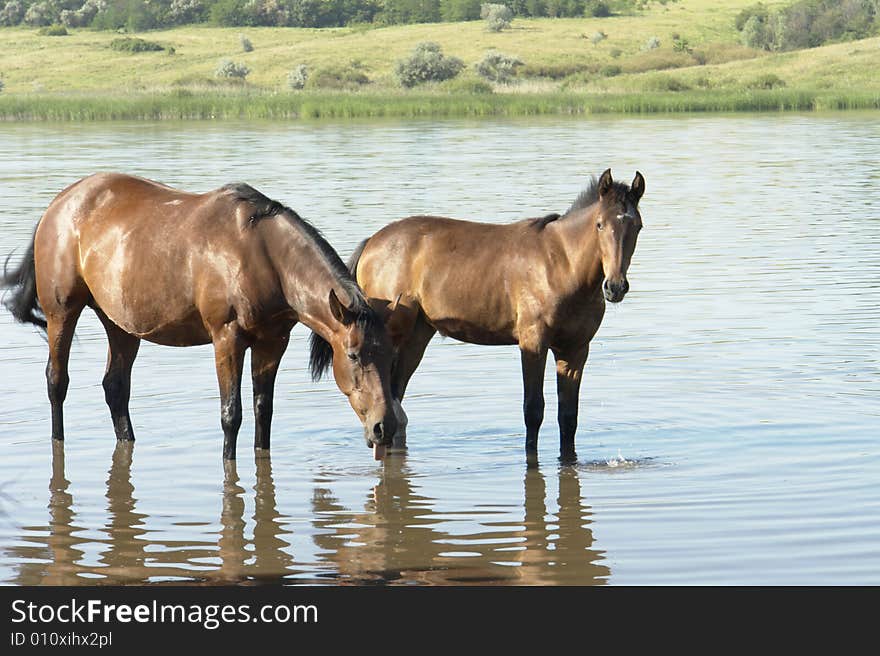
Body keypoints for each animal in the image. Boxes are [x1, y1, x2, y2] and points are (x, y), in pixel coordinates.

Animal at [1, 174, 398, 462]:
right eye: (354, 355)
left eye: (390, 354)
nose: (385, 426)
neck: (264, 256)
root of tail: (59, 204)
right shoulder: (227, 338)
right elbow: (231, 414)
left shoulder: (272, 343)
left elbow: (263, 410)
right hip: (62, 312)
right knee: (57, 382)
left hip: (120, 324)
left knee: (115, 387)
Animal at [312, 169, 644, 462]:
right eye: (599, 224)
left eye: (637, 225)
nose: (615, 286)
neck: (561, 265)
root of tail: (372, 242)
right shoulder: (533, 343)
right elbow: (533, 410)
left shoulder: (575, 350)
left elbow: (569, 416)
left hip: (417, 336)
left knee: (395, 399)